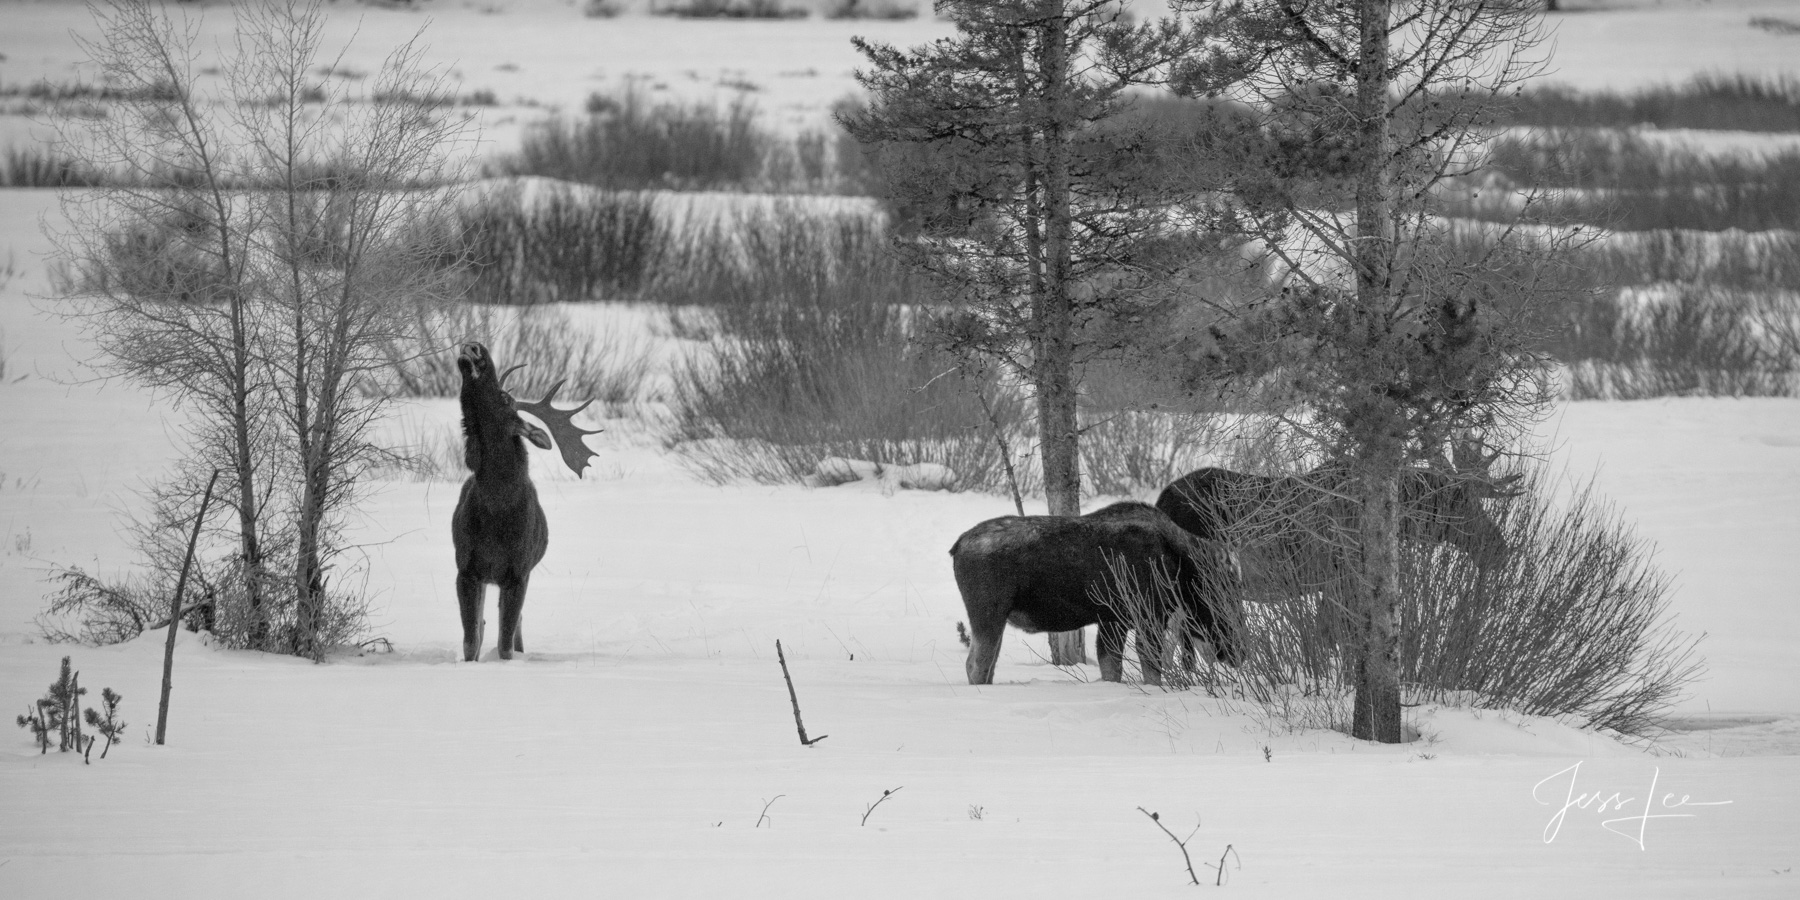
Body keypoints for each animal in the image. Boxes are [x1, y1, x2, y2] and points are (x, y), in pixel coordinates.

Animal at [448, 342, 597, 662]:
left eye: (505, 398)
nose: (475, 347)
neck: (497, 509)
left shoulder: (519, 572)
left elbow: (505, 643)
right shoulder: (466, 569)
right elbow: (470, 641)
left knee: (515, 624)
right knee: (484, 623)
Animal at [950, 504, 1245, 684]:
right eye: (1223, 595)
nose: (1240, 652)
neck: (1180, 564)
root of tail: (957, 546)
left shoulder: (1113, 621)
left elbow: (1111, 667)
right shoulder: (1148, 618)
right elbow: (1151, 667)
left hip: (995, 619)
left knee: (986, 665)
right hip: (988, 614)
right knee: (975, 664)